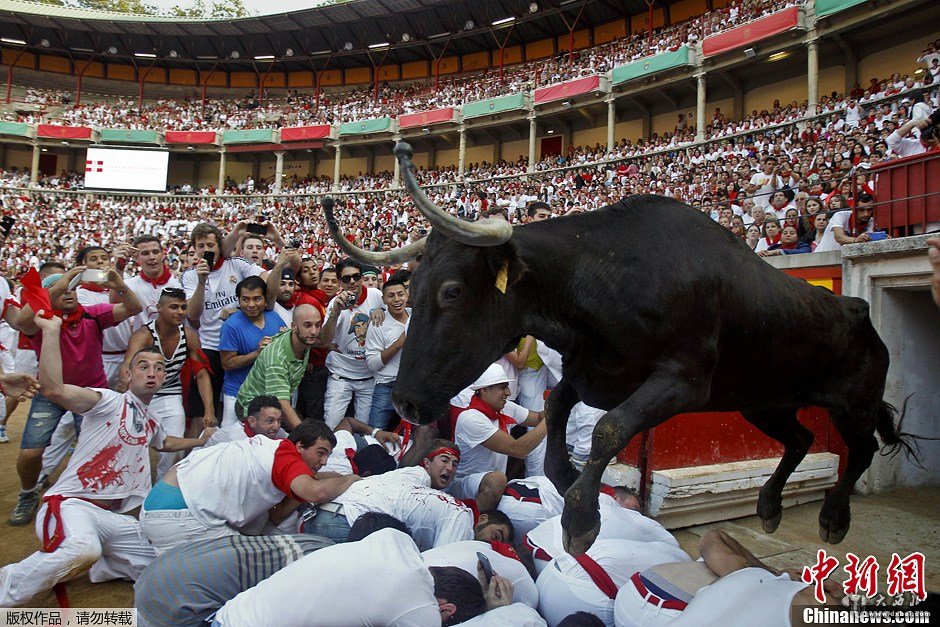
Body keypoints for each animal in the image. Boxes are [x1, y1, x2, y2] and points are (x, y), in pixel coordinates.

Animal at [322, 155, 912, 556]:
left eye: (452, 291)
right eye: (414, 288)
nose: (405, 403)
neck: (601, 278)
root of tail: (855, 306)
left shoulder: (683, 380)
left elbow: (607, 429)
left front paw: (581, 519)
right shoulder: (595, 372)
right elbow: (557, 406)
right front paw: (566, 479)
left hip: (851, 402)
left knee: (858, 449)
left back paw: (833, 517)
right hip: (763, 401)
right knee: (803, 439)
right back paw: (767, 507)